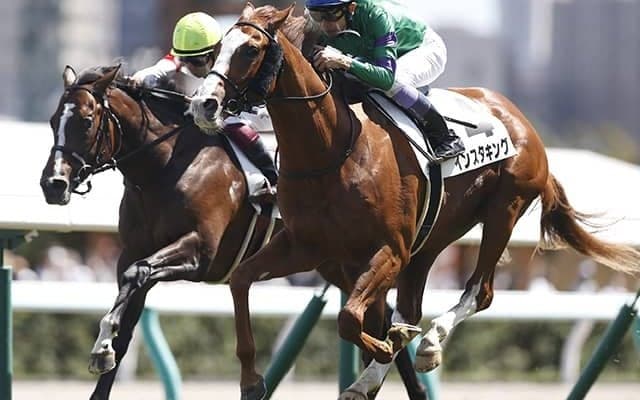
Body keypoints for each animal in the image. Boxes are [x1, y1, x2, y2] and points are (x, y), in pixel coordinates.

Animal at [39, 64, 431, 400]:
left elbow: (140, 274)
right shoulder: (132, 253)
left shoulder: (200, 253)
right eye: (53, 120)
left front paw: (101, 345)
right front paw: (104, 348)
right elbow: (127, 317)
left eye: (86, 121)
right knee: (381, 323)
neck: (165, 168)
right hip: (336, 265)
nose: (53, 184)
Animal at [189, 4, 640, 400]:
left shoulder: (389, 249)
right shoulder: (307, 246)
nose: (203, 104)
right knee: (410, 307)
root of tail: (514, 114)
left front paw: (390, 346)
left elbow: (350, 319)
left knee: (479, 292)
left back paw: (429, 345)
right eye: (217, 48)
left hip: (503, 210)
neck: (331, 149)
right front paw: (252, 381)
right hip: (431, 240)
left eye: (250, 49)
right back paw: (374, 371)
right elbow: (242, 280)